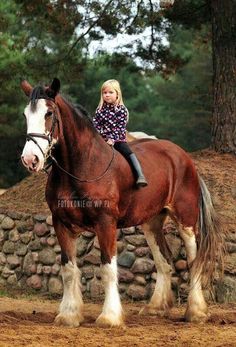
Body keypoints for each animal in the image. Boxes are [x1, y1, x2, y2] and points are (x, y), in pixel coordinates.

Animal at [20, 78, 225, 328]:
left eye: (49, 113)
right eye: (26, 115)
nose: (30, 159)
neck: (83, 166)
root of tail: (185, 158)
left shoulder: (105, 224)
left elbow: (108, 269)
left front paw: (109, 317)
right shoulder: (61, 223)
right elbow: (68, 269)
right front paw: (69, 315)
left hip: (185, 220)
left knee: (194, 260)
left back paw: (196, 312)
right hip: (151, 223)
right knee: (164, 261)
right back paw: (156, 308)